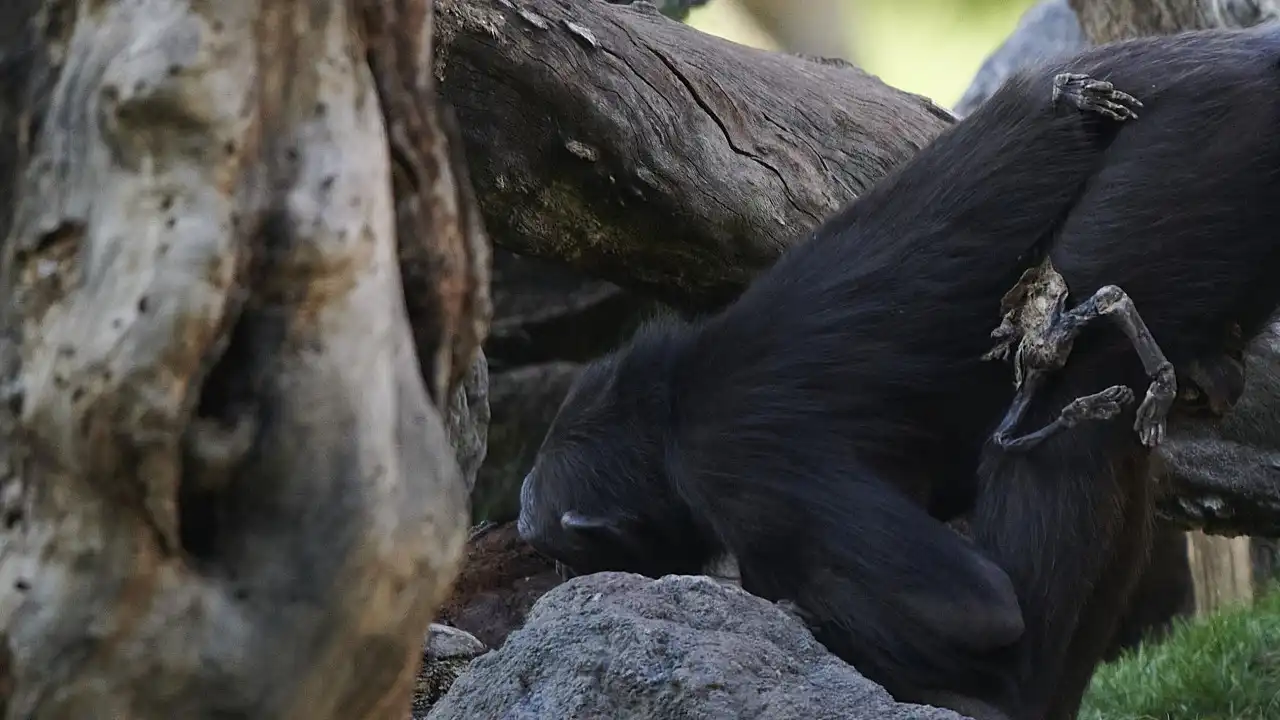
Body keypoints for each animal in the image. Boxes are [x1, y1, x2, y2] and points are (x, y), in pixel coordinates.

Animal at [514, 26, 1280, 717]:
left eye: (556, 543)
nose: (526, 529)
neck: (666, 408)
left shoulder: (738, 461)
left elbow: (970, 605)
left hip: (1192, 159)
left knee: (1073, 399)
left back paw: (1004, 695)